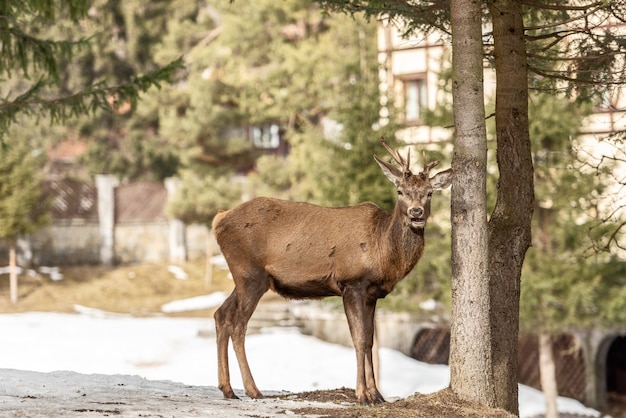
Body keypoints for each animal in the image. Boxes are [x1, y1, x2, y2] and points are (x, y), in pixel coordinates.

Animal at [212, 137, 450, 404]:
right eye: (400, 191)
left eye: (429, 193)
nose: (416, 212)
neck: (383, 252)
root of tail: (218, 219)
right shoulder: (351, 283)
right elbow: (358, 339)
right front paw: (362, 395)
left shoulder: (372, 294)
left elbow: (369, 341)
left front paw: (377, 394)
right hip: (250, 274)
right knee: (238, 324)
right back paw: (252, 389)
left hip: (246, 278)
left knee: (221, 314)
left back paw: (228, 389)